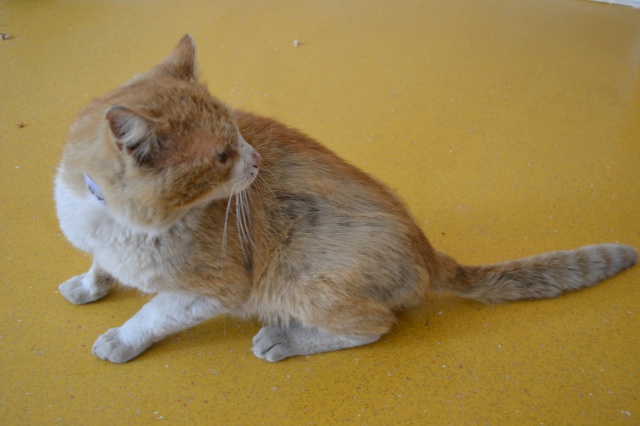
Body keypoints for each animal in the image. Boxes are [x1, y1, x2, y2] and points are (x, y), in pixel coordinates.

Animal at [55, 35, 637, 363]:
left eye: (236, 135)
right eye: (223, 154)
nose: (255, 159)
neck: (112, 222)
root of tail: (430, 254)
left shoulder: (214, 290)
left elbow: (153, 313)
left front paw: (121, 339)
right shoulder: (98, 242)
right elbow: (100, 265)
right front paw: (88, 285)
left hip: (300, 280)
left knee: (373, 326)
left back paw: (283, 340)